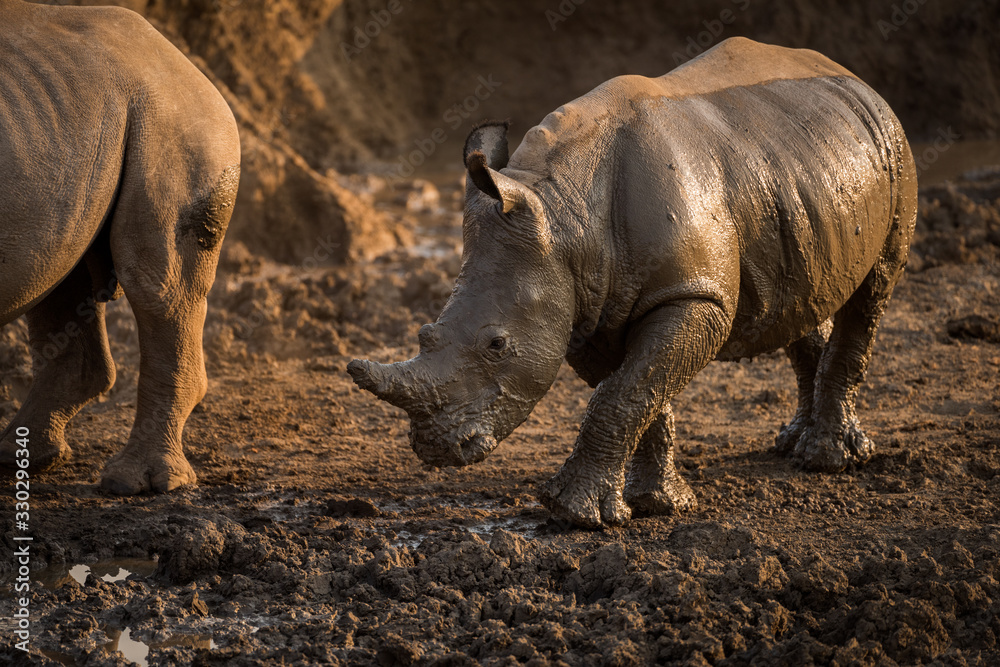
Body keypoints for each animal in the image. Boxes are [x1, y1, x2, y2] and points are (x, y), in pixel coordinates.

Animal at [0, 1, 240, 494]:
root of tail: (190, 64)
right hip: (63, 126)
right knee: (55, 272)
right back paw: (20, 458)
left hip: (170, 117)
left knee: (157, 285)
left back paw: (138, 484)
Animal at [349, 37, 917, 528]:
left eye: (497, 345)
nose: (434, 448)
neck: (564, 212)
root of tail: (851, 76)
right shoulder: (584, 306)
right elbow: (639, 393)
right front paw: (656, 504)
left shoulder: (692, 295)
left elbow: (624, 394)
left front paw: (574, 515)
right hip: (793, 168)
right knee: (804, 290)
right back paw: (792, 443)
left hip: (893, 147)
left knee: (872, 292)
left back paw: (829, 460)